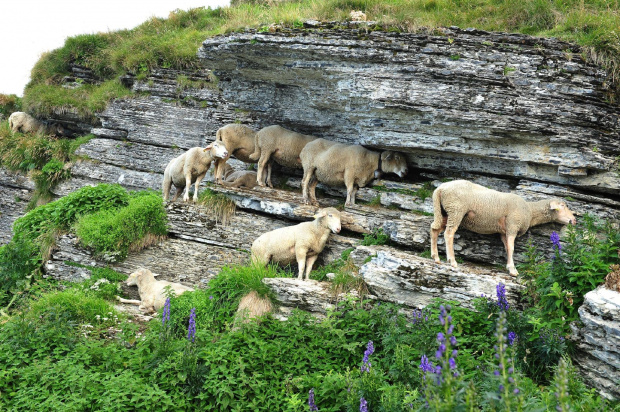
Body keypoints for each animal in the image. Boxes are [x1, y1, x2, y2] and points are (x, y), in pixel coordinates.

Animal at [428, 180, 580, 276]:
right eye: (563, 206)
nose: (574, 220)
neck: (530, 211)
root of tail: (440, 189)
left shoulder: (504, 231)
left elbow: (507, 248)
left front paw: (509, 266)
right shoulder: (513, 225)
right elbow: (512, 248)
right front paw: (513, 270)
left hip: (444, 212)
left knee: (434, 229)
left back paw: (436, 257)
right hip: (456, 210)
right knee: (449, 233)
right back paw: (452, 261)